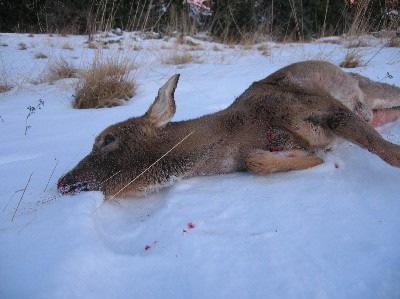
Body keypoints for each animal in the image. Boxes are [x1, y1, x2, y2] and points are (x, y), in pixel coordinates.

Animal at [57, 60, 400, 198]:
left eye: (107, 139)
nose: (62, 182)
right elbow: (256, 161)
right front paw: (313, 158)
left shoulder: (321, 105)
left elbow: (388, 153)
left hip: (366, 90)